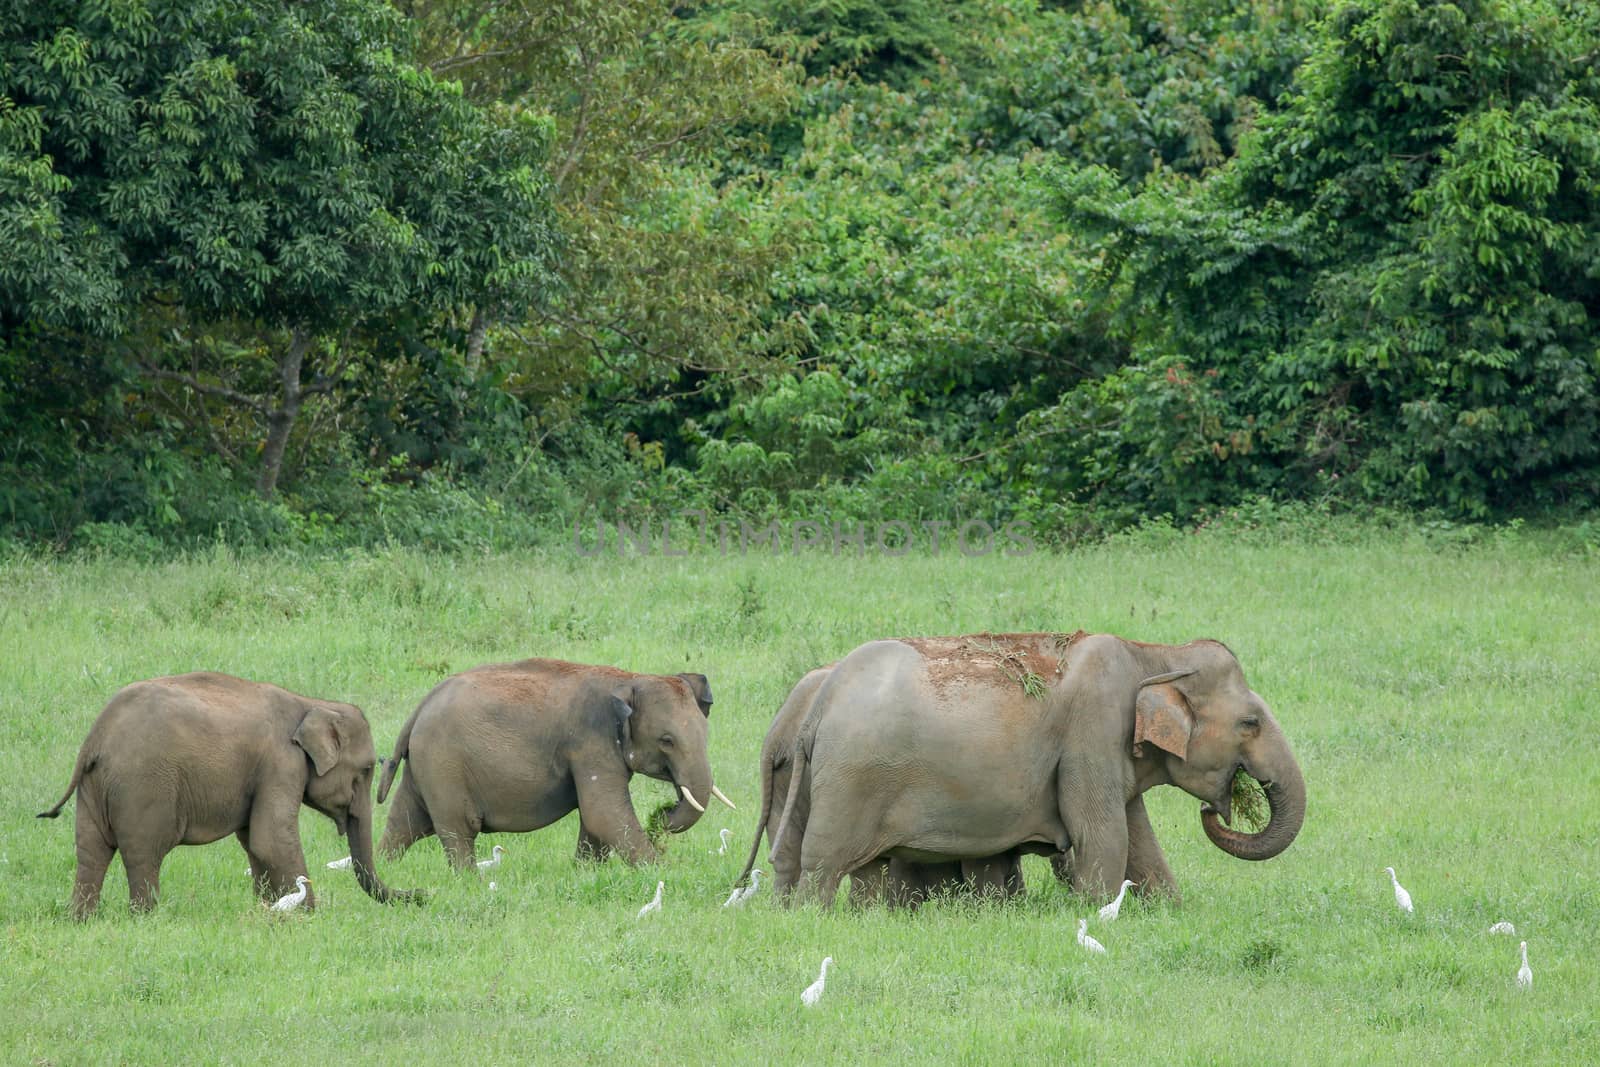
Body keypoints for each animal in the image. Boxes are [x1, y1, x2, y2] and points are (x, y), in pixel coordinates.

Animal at [377, 655, 732, 870]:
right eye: (666, 741)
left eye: (705, 733)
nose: (662, 815)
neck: (629, 678)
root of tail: (419, 708)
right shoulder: (591, 742)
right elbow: (604, 813)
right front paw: (663, 874)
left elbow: (595, 819)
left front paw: (585, 873)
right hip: (443, 765)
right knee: (458, 831)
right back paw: (469, 882)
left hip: (424, 767)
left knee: (403, 823)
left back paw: (381, 871)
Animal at [768, 633, 1305, 908]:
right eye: (1251, 723)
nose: (1213, 812)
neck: (1152, 653)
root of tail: (823, 701)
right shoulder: (1092, 732)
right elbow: (1104, 833)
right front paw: (1097, 914)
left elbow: (1139, 839)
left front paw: (1168, 911)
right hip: (851, 778)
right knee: (823, 861)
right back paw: (812, 918)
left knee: (794, 854)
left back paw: (784, 915)